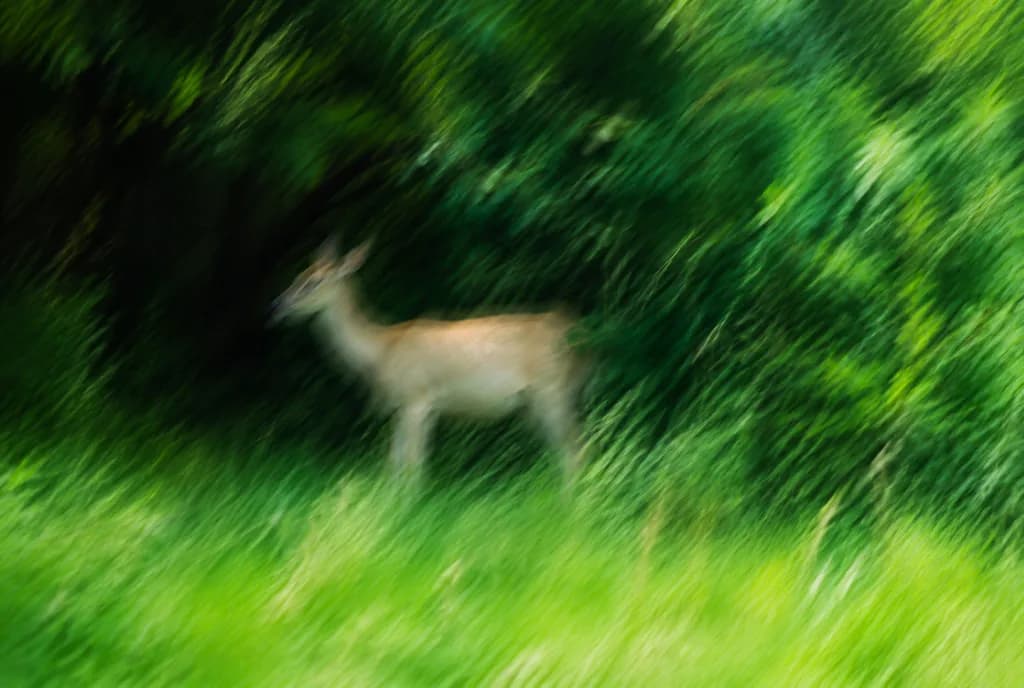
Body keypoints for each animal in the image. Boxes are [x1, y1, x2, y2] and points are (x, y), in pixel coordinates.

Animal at [269, 237, 591, 490]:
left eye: (314, 282)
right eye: (298, 275)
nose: (277, 305)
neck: (380, 350)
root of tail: (580, 341)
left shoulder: (417, 399)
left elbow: (413, 463)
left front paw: (407, 509)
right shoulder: (405, 407)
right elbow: (395, 462)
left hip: (552, 388)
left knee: (574, 448)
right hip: (536, 401)